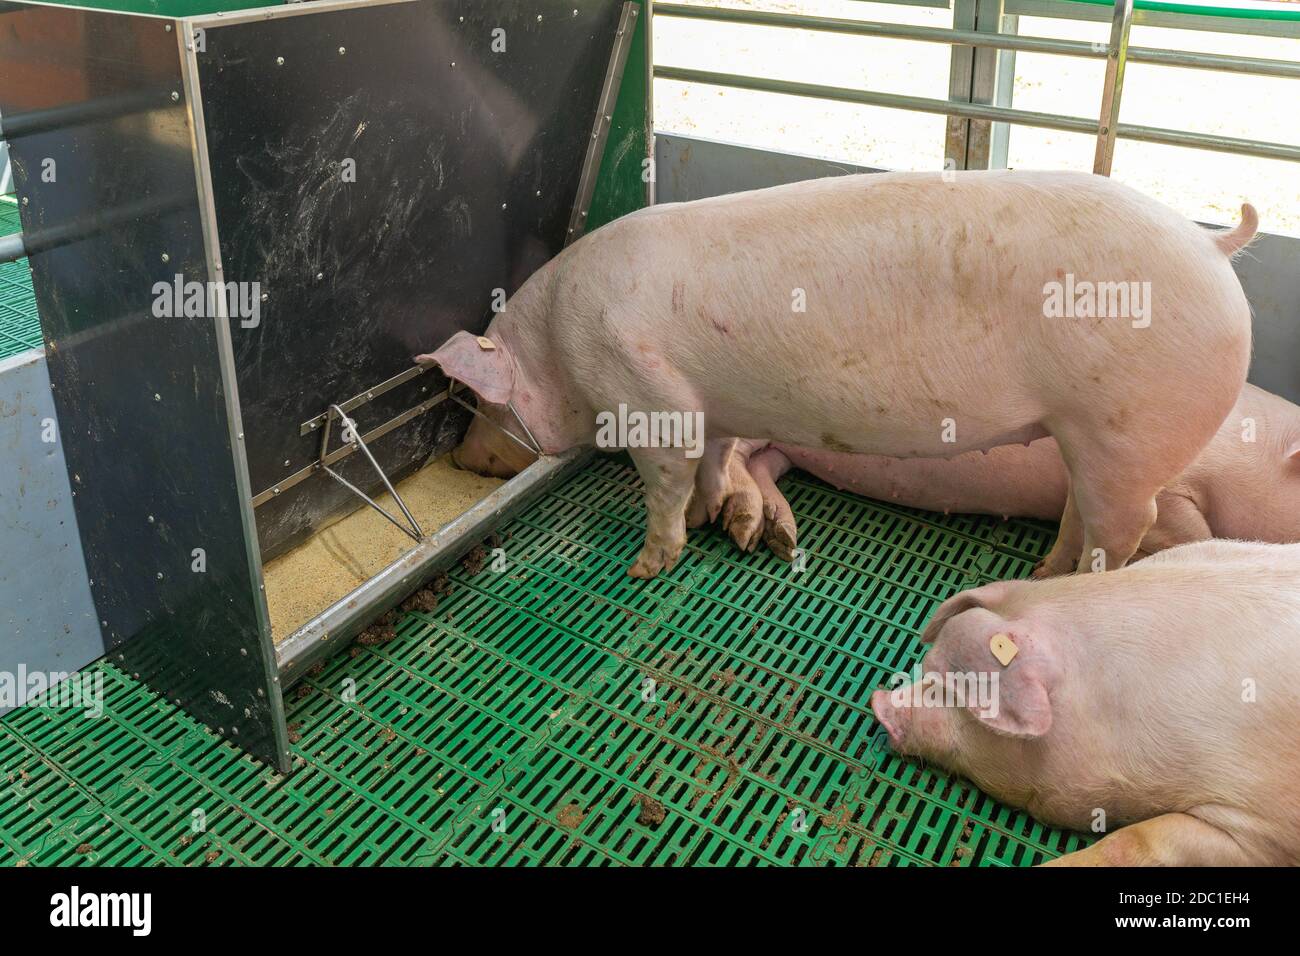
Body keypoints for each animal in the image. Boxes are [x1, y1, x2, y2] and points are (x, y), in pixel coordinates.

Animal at [706, 383, 1300, 563]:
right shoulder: (1166, 486)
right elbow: (1192, 529)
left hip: (788, 447)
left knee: (763, 464)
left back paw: (781, 538)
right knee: (731, 458)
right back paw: (743, 528)